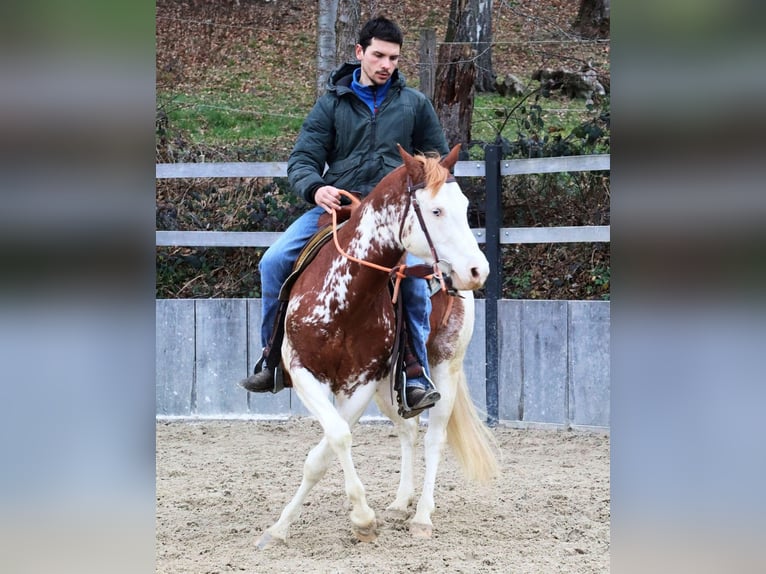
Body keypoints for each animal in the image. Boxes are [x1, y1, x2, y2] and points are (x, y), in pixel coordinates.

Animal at [255, 144, 499, 549]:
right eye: (436, 210)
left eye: (464, 206)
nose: (477, 271)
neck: (347, 296)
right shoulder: (304, 371)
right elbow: (333, 440)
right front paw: (280, 528)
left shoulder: (360, 383)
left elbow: (331, 443)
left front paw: (362, 520)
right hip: (391, 385)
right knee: (407, 430)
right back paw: (400, 504)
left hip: (444, 367)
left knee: (433, 437)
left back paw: (422, 516)